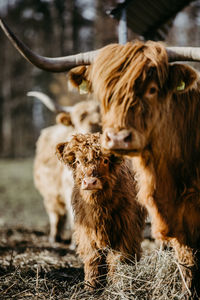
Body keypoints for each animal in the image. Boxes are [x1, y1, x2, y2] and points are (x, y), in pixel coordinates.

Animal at [55, 133, 146, 288]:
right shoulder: (86, 232)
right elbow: (93, 258)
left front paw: (117, 284)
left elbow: (118, 258)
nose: (90, 182)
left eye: (105, 160)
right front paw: (91, 285)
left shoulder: (126, 231)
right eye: (78, 161)